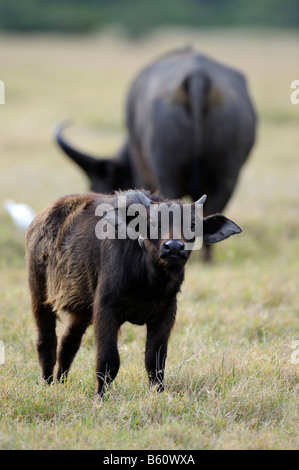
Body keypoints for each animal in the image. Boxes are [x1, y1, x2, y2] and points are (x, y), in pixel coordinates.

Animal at [25, 189, 241, 394]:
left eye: (193, 225)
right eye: (152, 223)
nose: (173, 247)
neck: (148, 281)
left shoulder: (166, 313)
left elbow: (155, 360)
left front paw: (158, 393)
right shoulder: (106, 310)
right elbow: (108, 360)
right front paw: (100, 396)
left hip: (81, 310)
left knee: (69, 343)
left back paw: (60, 382)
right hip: (39, 295)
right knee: (46, 341)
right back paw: (47, 383)